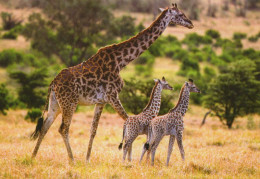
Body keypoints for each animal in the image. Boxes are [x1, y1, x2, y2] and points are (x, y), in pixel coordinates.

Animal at [30, 2, 193, 163]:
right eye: (180, 14)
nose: (191, 23)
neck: (121, 62)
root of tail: (53, 83)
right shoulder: (113, 96)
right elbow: (127, 120)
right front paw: (129, 159)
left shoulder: (101, 101)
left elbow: (93, 130)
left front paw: (88, 160)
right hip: (69, 102)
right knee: (63, 128)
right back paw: (72, 160)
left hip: (55, 103)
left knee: (45, 126)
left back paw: (33, 156)